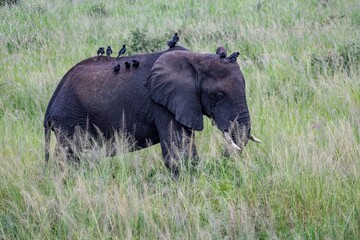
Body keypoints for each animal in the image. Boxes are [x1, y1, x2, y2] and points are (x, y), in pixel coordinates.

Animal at [44, 45, 262, 176]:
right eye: (218, 95)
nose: (224, 156)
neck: (197, 58)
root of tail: (51, 104)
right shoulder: (163, 105)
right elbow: (179, 156)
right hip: (70, 120)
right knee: (70, 159)